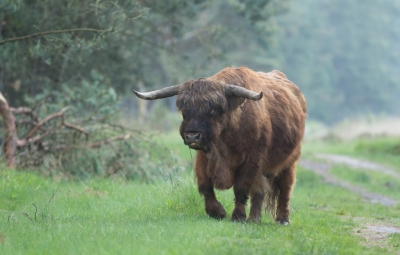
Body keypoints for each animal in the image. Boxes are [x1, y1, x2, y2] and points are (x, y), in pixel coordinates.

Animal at [134, 66, 306, 224]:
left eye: (213, 110)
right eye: (184, 110)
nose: (192, 135)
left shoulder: (252, 158)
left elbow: (241, 187)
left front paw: (237, 216)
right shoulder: (203, 156)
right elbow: (205, 185)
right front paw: (217, 211)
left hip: (289, 161)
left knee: (285, 188)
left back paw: (282, 219)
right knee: (259, 190)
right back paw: (254, 218)